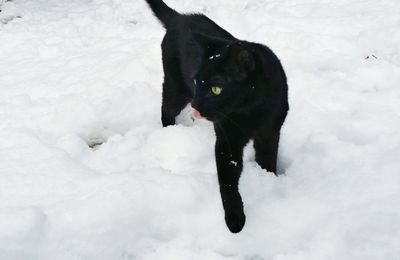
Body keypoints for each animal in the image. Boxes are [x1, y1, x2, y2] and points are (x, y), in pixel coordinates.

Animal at [145, 0, 290, 232]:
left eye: (216, 89)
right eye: (197, 81)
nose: (196, 105)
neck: (251, 110)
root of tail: (179, 17)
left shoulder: (270, 132)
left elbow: (268, 159)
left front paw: (269, 179)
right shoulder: (227, 141)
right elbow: (227, 183)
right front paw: (235, 219)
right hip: (176, 89)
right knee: (166, 110)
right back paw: (169, 133)